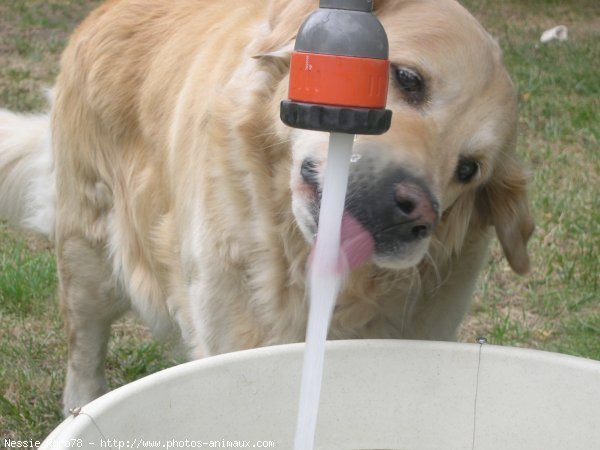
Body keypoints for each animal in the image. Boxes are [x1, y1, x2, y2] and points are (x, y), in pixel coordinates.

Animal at [0, 0, 536, 414]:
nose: (415, 211)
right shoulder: (229, 338)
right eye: (408, 78)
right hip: (87, 254)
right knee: (84, 349)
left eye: (469, 170)